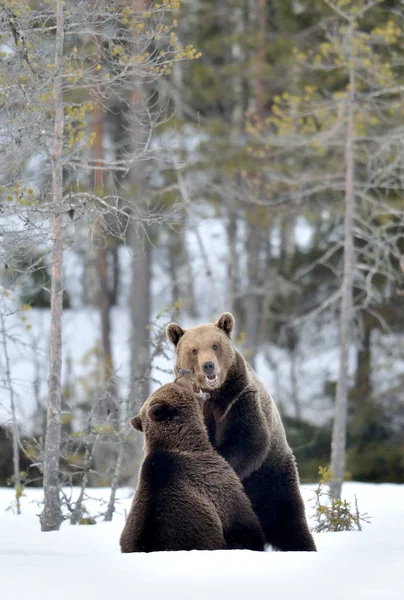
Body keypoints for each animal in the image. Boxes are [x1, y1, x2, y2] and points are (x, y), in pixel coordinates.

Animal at [166, 314, 318, 552]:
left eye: (215, 345)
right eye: (194, 350)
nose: (208, 366)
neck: (214, 395)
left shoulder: (239, 399)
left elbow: (248, 439)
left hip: (271, 477)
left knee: (287, 518)